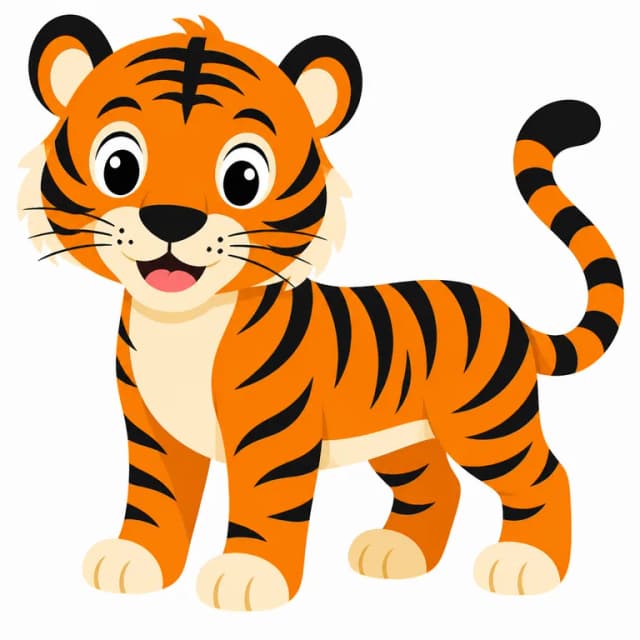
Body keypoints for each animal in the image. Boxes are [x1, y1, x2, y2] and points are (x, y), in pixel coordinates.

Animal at [19, 14, 624, 611]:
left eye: (243, 178)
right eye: (119, 166)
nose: (172, 218)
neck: (183, 325)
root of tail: (513, 315)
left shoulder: (274, 433)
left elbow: (265, 505)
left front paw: (247, 577)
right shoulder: (154, 430)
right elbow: (154, 498)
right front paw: (135, 561)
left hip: (485, 421)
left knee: (545, 475)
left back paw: (527, 565)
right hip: (403, 436)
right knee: (437, 485)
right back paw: (396, 553)